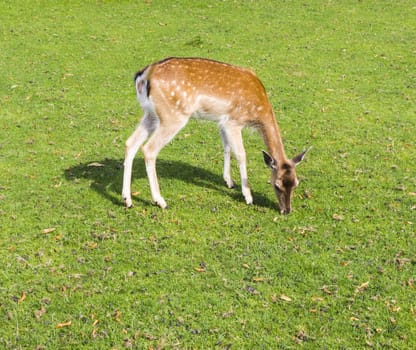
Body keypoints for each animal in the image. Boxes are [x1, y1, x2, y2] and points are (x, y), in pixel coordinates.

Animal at [122, 57, 308, 213]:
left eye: (296, 183)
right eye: (276, 185)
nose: (286, 210)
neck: (259, 111)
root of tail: (145, 74)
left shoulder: (222, 122)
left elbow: (226, 148)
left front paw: (229, 181)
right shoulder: (234, 122)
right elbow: (241, 154)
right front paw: (248, 196)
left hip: (151, 114)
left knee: (130, 143)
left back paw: (127, 199)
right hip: (173, 115)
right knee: (149, 149)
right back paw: (160, 201)